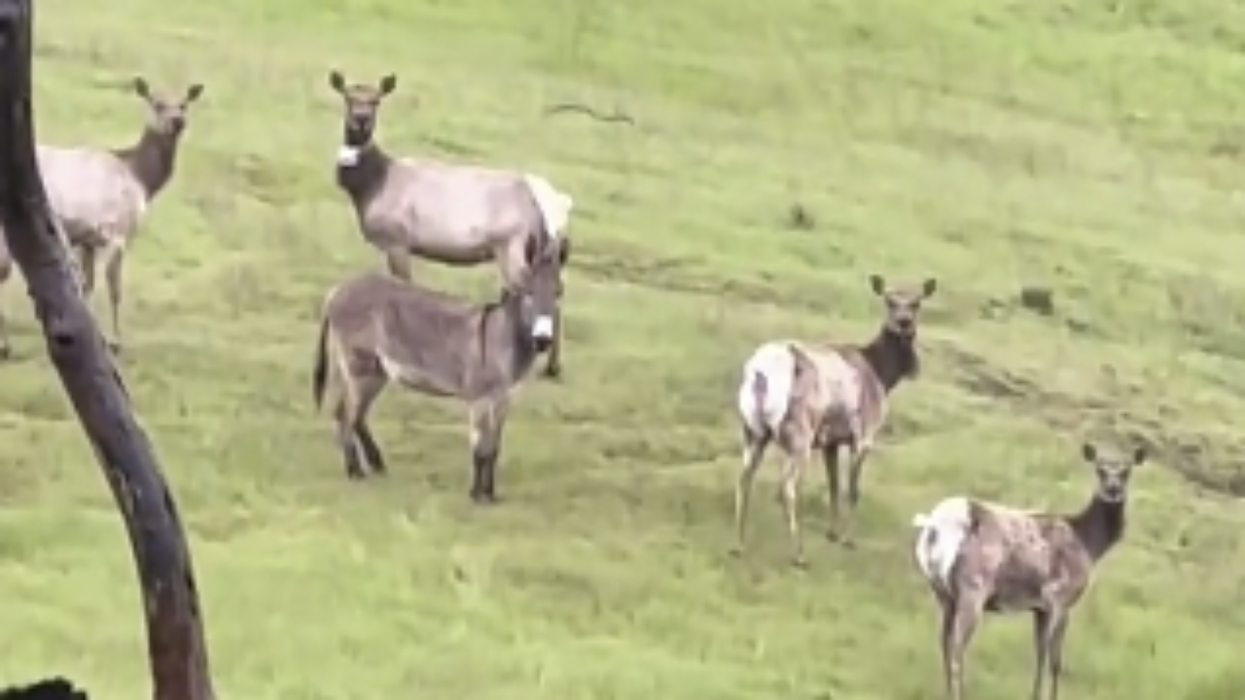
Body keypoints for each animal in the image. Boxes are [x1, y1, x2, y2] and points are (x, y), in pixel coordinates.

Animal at [0, 77, 204, 353]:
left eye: (184, 104)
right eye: (157, 104)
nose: (178, 121)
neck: (140, 179)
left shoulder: (88, 239)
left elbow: (88, 285)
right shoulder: (118, 231)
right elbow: (114, 287)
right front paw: (115, 341)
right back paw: (5, 345)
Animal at [311, 236, 561, 502]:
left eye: (558, 293)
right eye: (528, 293)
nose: (543, 340)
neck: (503, 336)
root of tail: (338, 289)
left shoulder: (504, 399)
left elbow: (494, 448)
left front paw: (490, 494)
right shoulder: (480, 399)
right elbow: (481, 448)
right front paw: (476, 495)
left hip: (375, 371)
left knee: (355, 415)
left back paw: (375, 465)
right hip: (360, 369)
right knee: (345, 414)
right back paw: (355, 472)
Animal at [327, 70, 573, 379]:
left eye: (376, 100)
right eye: (348, 97)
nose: (361, 119)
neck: (370, 187)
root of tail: (556, 204)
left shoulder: (398, 239)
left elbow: (404, 284)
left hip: (512, 245)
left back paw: (549, 364)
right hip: (539, 248)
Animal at [733, 273, 937, 565]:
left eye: (917, 303)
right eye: (889, 301)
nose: (904, 323)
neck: (883, 374)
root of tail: (761, 372)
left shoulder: (831, 441)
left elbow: (833, 486)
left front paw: (832, 532)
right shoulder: (863, 437)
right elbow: (852, 490)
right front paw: (847, 539)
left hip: (753, 432)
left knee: (743, 478)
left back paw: (739, 545)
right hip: (799, 438)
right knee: (787, 487)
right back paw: (799, 554)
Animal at [910, 442, 1147, 700]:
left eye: (1127, 471)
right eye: (1100, 470)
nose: (1113, 489)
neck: (1089, 544)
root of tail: (935, 524)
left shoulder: (1039, 607)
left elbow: (1040, 654)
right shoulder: (1060, 598)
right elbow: (1055, 660)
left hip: (942, 592)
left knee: (943, 643)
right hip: (973, 587)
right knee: (957, 648)